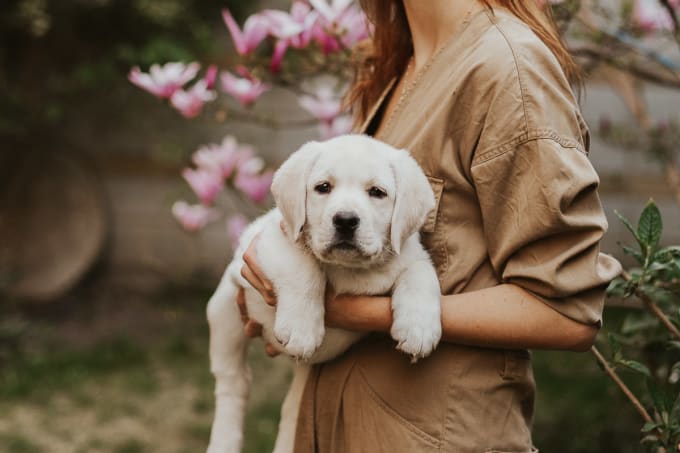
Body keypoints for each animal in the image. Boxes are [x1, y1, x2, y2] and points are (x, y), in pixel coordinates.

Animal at [206, 134, 440, 452]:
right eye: (323, 187)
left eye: (377, 192)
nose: (345, 220)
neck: (348, 269)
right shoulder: (270, 240)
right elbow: (304, 266)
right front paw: (302, 329)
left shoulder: (410, 253)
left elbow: (421, 275)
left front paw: (420, 329)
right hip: (225, 311)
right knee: (233, 383)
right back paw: (224, 439)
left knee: (290, 413)